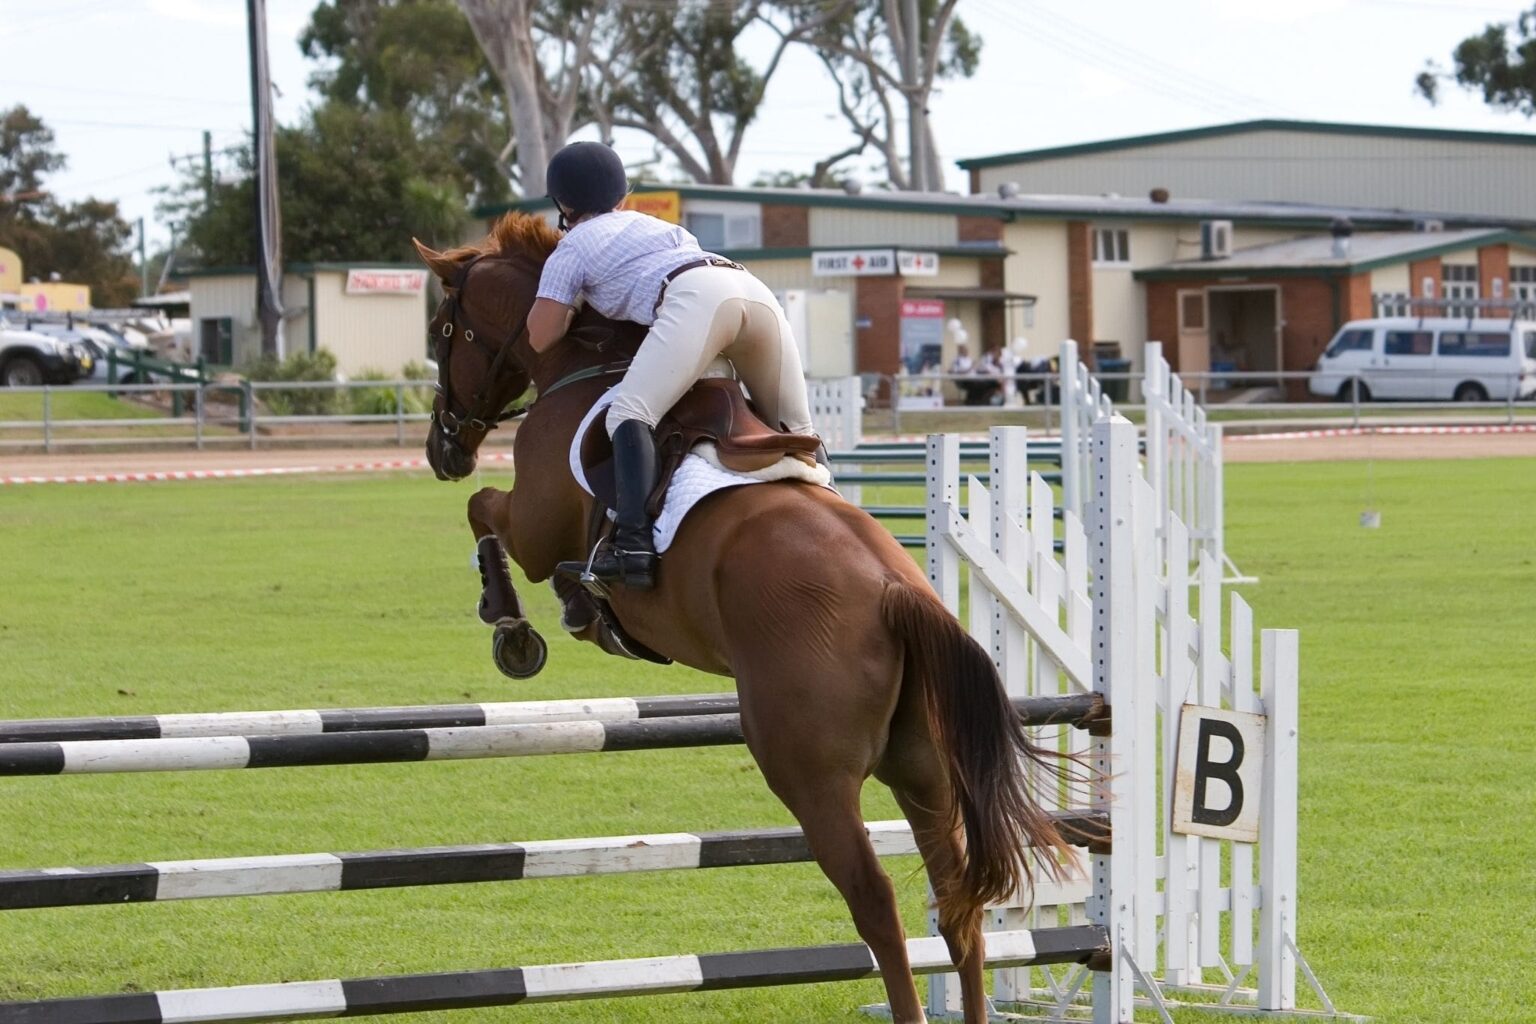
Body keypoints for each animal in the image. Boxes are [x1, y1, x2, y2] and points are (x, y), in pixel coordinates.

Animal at [414, 212, 1080, 1023]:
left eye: (443, 330)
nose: (442, 448)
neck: (577, 361)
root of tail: (899, 592)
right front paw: (569, 608)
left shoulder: (538, 526)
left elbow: (486, 514)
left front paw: (516, 624)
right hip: (921, 764)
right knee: (957, 898)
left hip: (807, 771)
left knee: (876, 899)